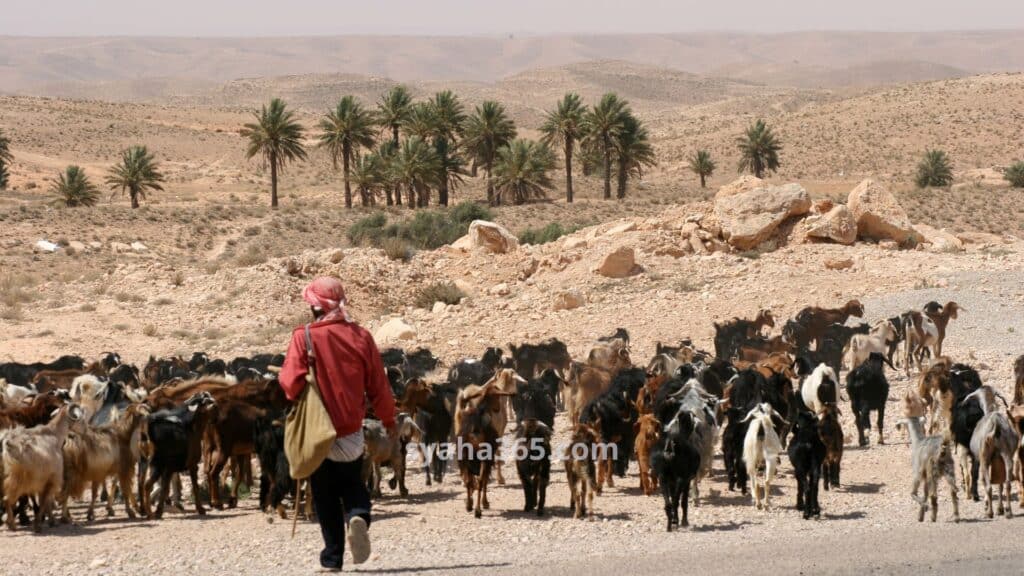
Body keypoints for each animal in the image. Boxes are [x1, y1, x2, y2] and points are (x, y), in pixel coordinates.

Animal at [2, 399, 85, 528]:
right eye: (81, 419)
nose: (86, 431)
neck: (54, 434)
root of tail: (6, 444)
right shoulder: (52, 477)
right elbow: (45, 500)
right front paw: (42, 522)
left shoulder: (43, 479)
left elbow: (45, 501)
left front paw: (48, 519)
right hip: (17, 479)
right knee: (7, 499)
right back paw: (12, 524)